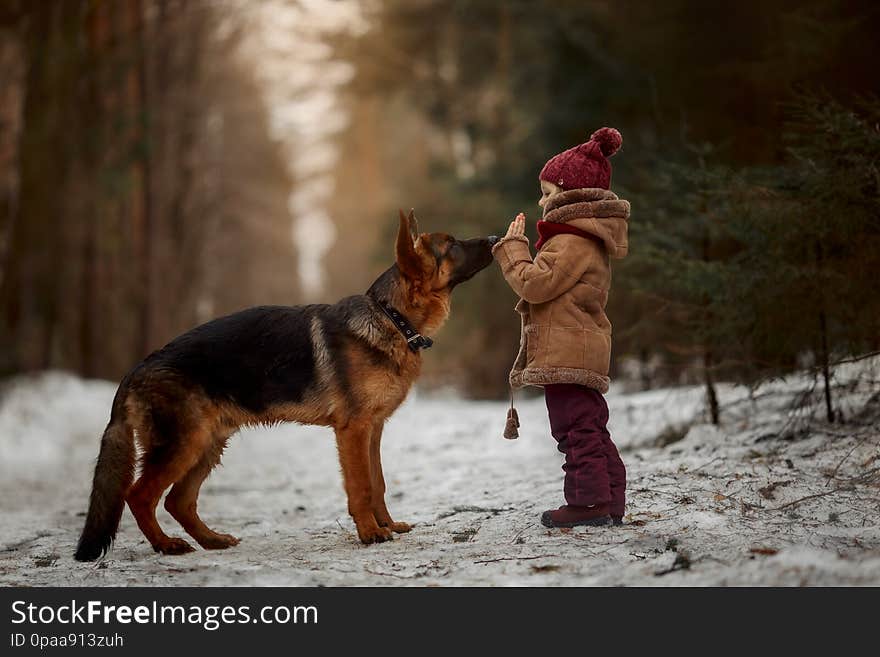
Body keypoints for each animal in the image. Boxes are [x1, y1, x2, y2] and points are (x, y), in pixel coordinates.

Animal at [75, 210, 496, 560]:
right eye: (452, 244)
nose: (494, 237)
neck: (392, 318)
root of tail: (137, 368)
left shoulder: (373, 430)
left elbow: (378, 482)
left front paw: (387, 524)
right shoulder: (353, 431)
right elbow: (361, 486)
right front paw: (370, 533)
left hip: (207, 444)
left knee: (178, 501)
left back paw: (211, 540)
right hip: (184, 444)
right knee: (139, 496)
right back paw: (166, 545)